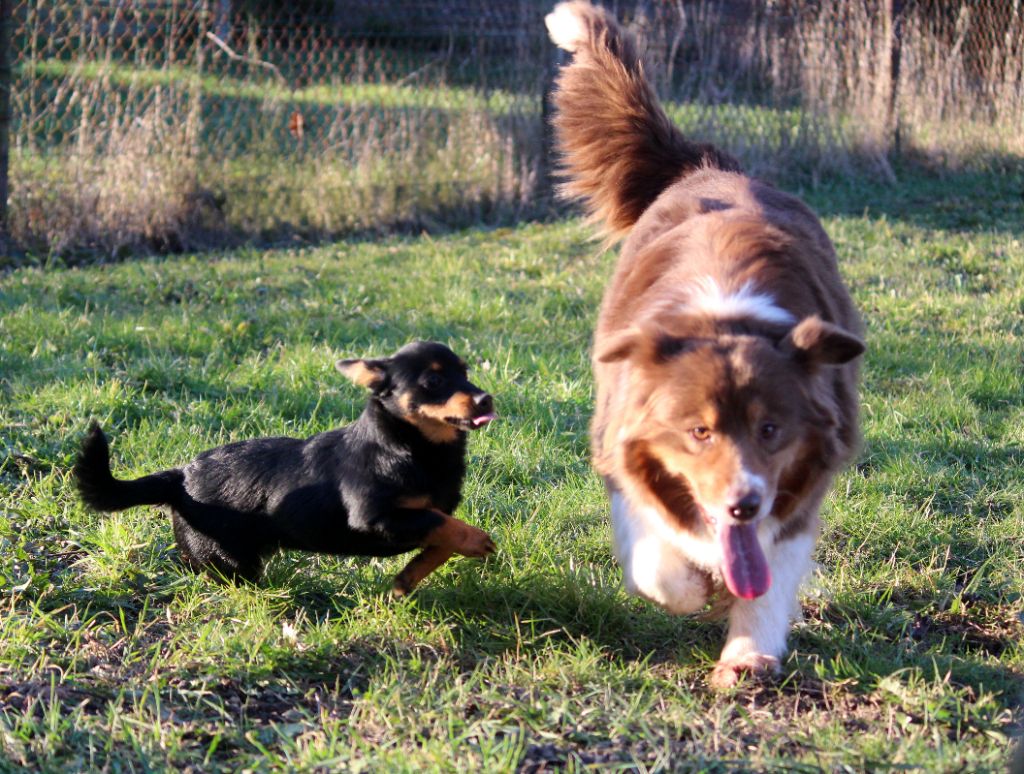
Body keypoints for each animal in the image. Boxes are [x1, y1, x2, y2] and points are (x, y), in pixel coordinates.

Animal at [74, 341, 497, 593]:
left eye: (466, 372)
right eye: (434, 380)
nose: (486, 398)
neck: (412, 447)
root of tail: (181, 475)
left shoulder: (418, 519)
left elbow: (439, 542)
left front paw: (404, 581)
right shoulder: (379, 517)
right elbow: (445, 525)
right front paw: (478, 540)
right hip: (229, 559)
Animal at [544, 1, 864, 688]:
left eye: (771, 430)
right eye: (699, 432)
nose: (743, 504)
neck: (725, 319)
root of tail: (713, 167)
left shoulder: (803, 477)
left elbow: (771, 571)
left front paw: (748, 655)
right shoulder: (620, 444)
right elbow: (654, 559)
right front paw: (694, 588)